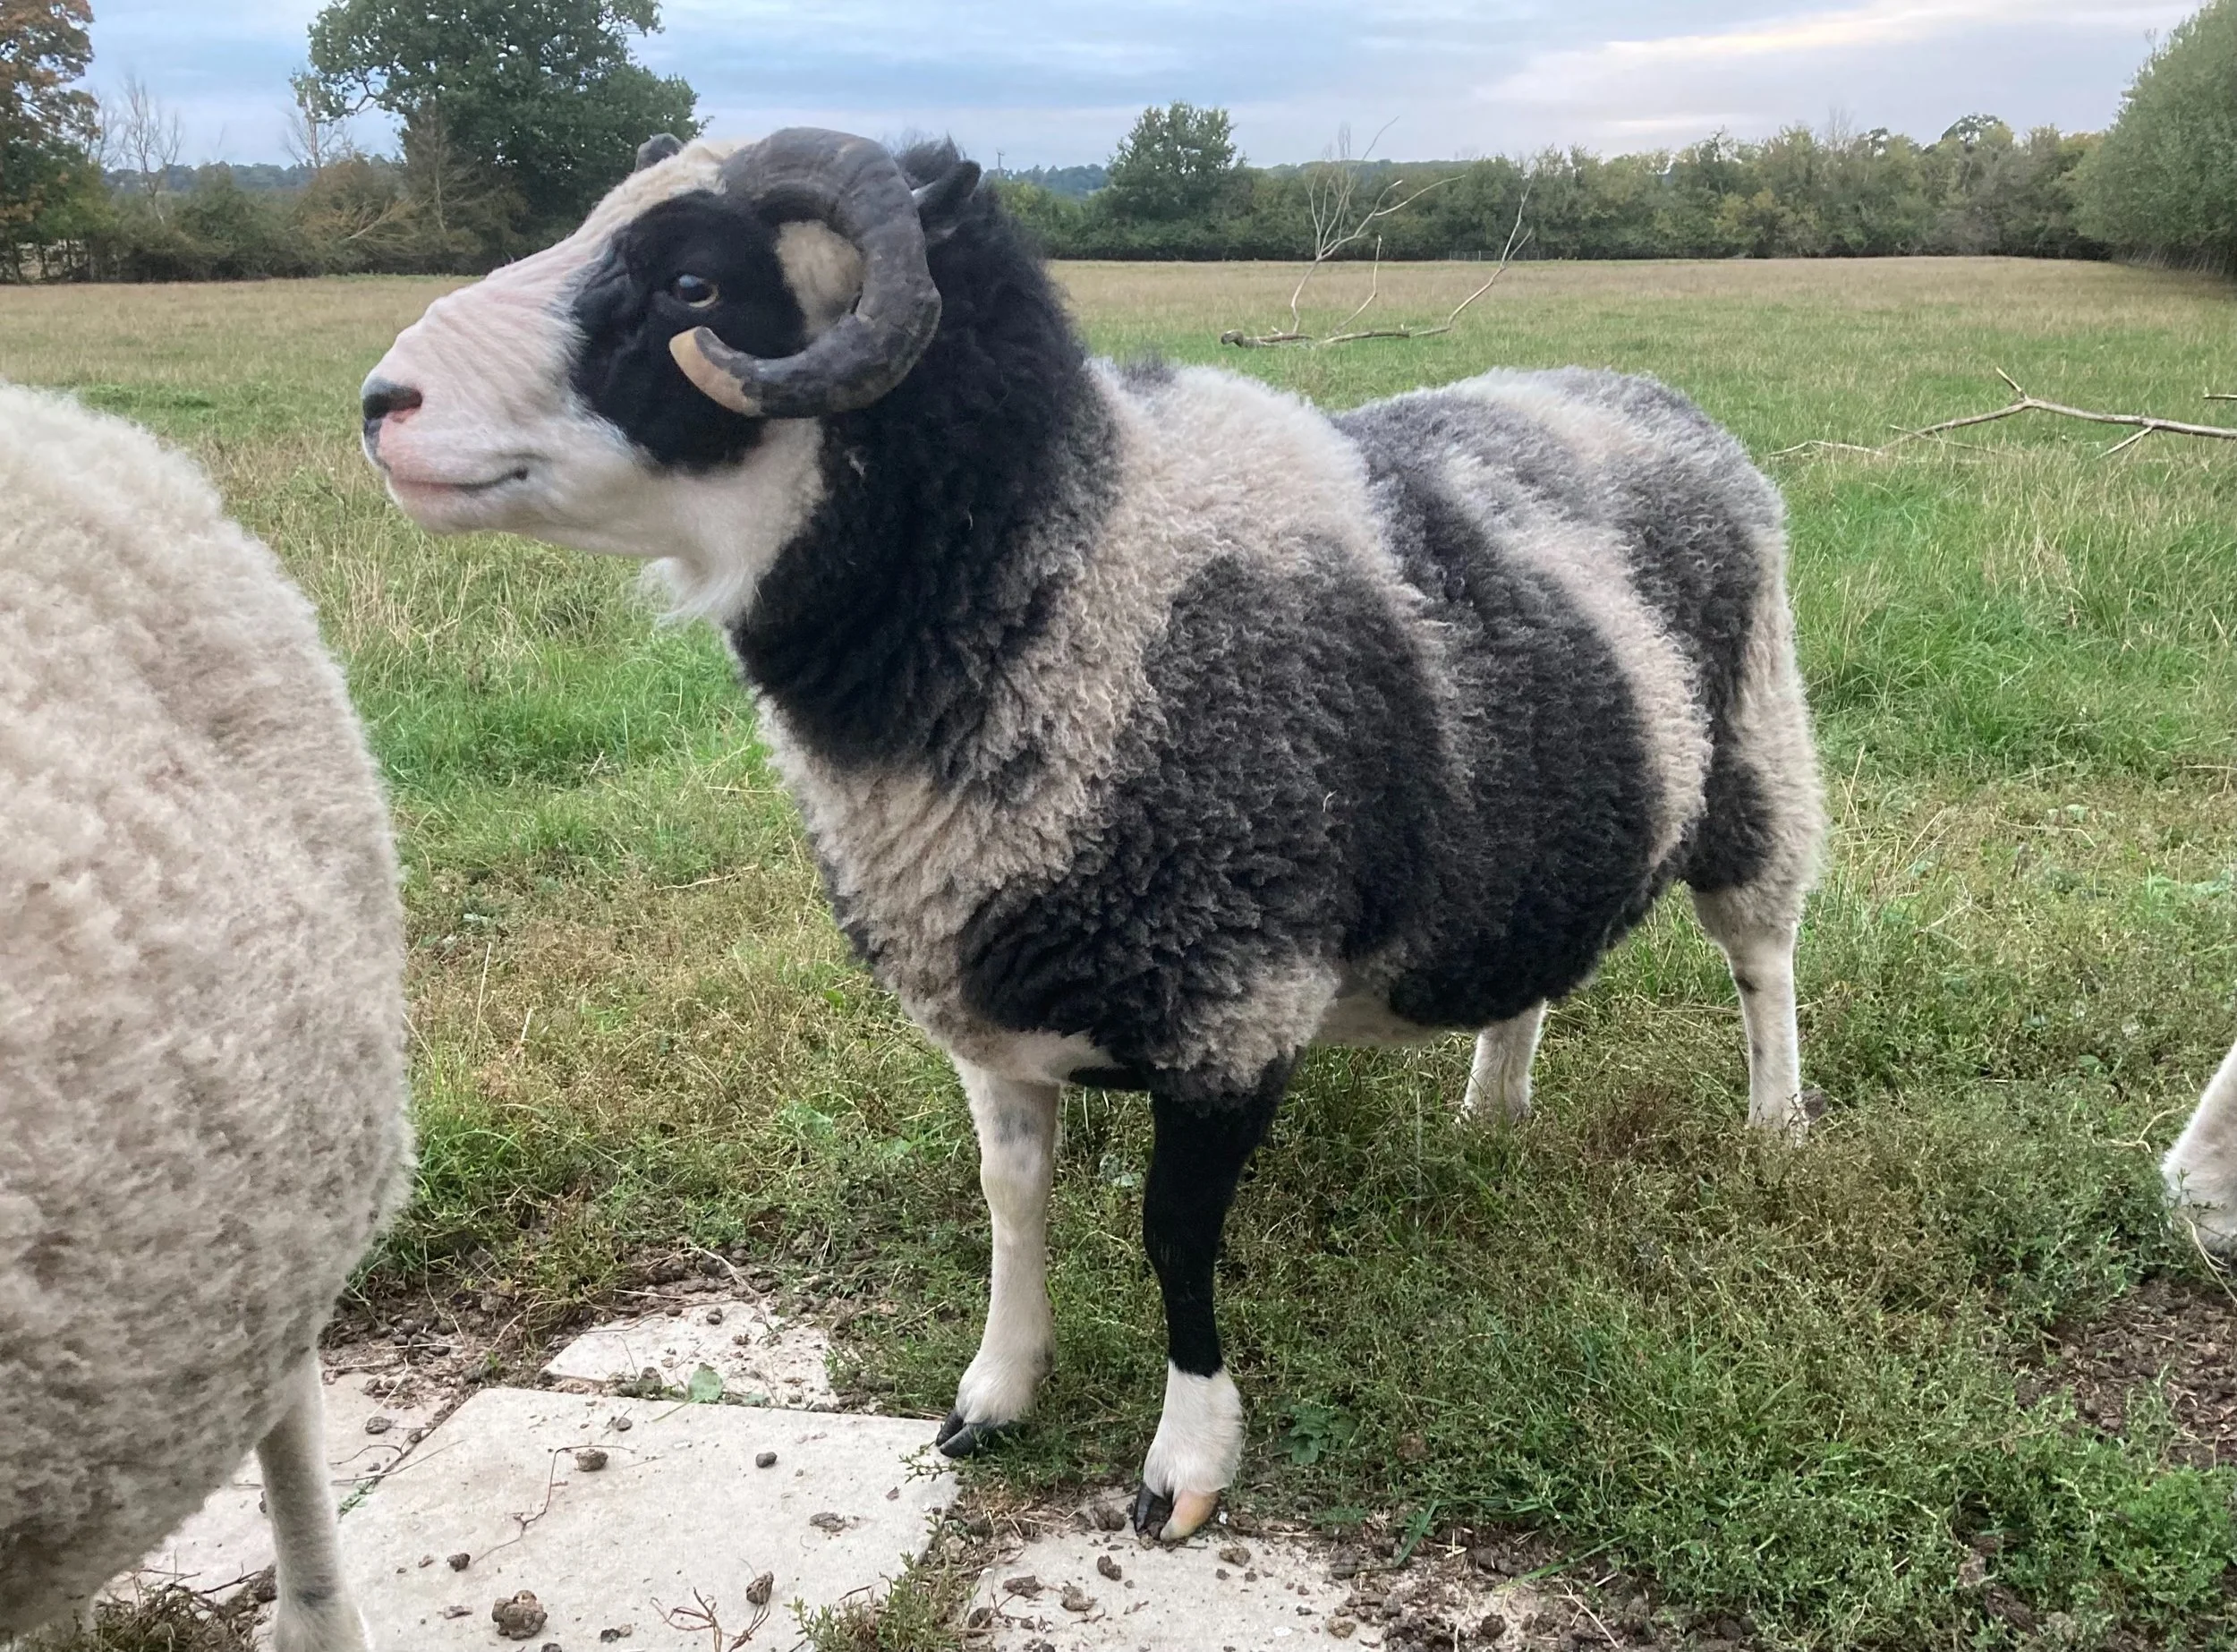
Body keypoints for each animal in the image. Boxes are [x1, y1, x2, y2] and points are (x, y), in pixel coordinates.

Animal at [358, 128, 1825, 1541]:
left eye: (693, 286)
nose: (381, 406)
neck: (1095, 566)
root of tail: (1643, 392)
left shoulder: (1233, 1002)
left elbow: (1174, 1238)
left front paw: (1185, 1465)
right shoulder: (989, 1014)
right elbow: (1013, 1202)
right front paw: (994, 1394)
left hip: (1761, 749)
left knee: (1763, 958)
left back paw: (1775, 1126)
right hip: (1538, 820)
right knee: (1529, 962)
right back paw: (1492, 1111)